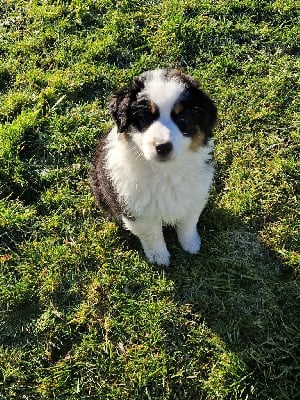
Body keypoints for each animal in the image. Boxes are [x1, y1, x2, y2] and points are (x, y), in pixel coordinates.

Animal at [90, 69, 217, 266]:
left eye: (182, 118)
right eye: (144, 118)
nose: (163, 147)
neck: (165, 171)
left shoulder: (195, 196)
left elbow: (188, 222)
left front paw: (191, 243)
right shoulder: (137, 212)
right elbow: (152, 236)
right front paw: (159, 257)